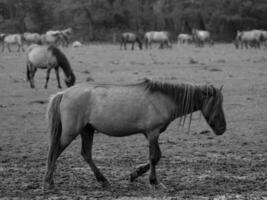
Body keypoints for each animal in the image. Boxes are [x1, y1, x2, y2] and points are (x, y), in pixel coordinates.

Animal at [43, 78, 227, 191]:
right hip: (71, 132)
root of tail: (64, 94)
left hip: (87, 130)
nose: (222, 129)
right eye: (217, 104)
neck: (164, 98)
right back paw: (49, 181)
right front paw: (154, 182)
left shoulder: (151, 134)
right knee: (55, 151)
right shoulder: (153, 133)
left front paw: (135, 174)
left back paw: (103, 180)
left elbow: (156, 156)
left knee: (85, 154)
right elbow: (154, 157)